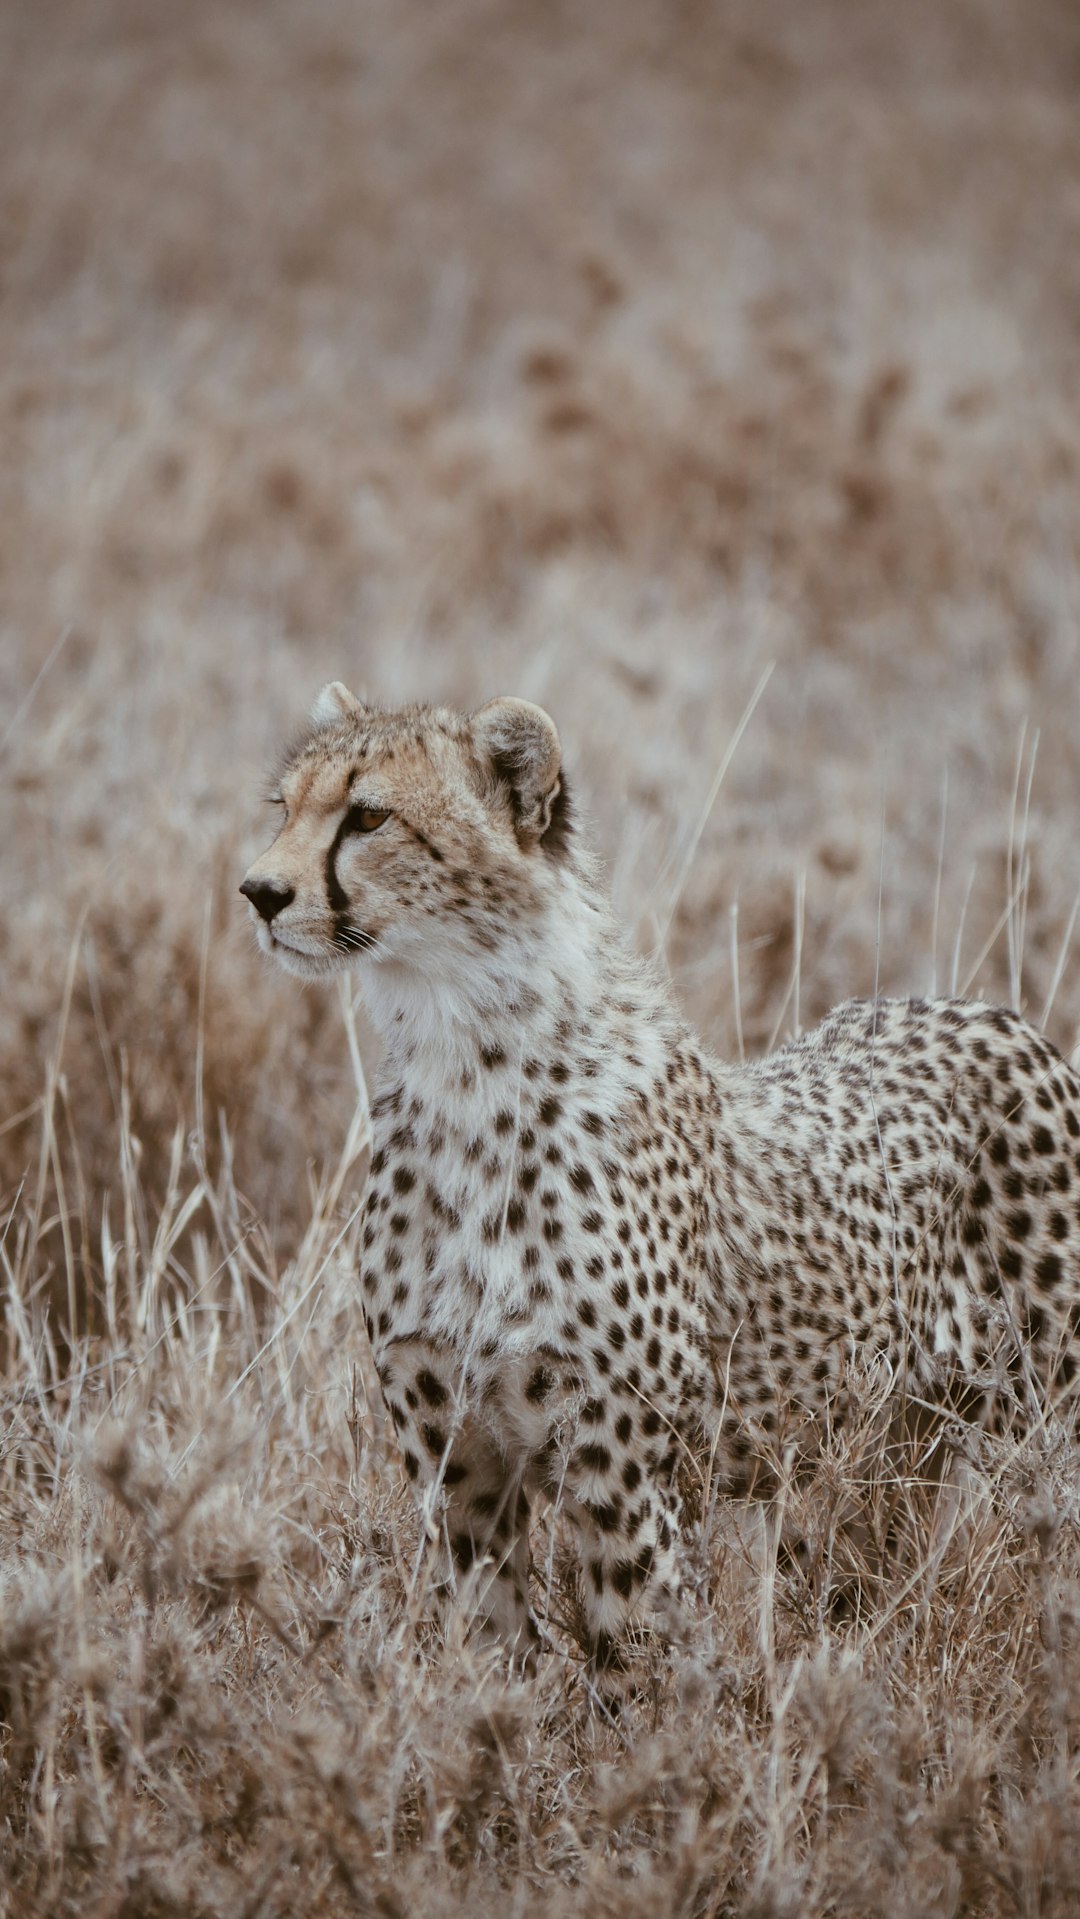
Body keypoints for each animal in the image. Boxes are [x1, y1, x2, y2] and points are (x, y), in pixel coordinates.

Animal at [240, 687, 1080, 1665]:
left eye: (369, 816)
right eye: (284, 808)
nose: (259, 892)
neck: (464, 1061)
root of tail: (987, 1011)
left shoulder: (625, 1471)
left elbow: (639, 1656)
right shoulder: (460, 1467)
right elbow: (485, 1649)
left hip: (1041, 1425)